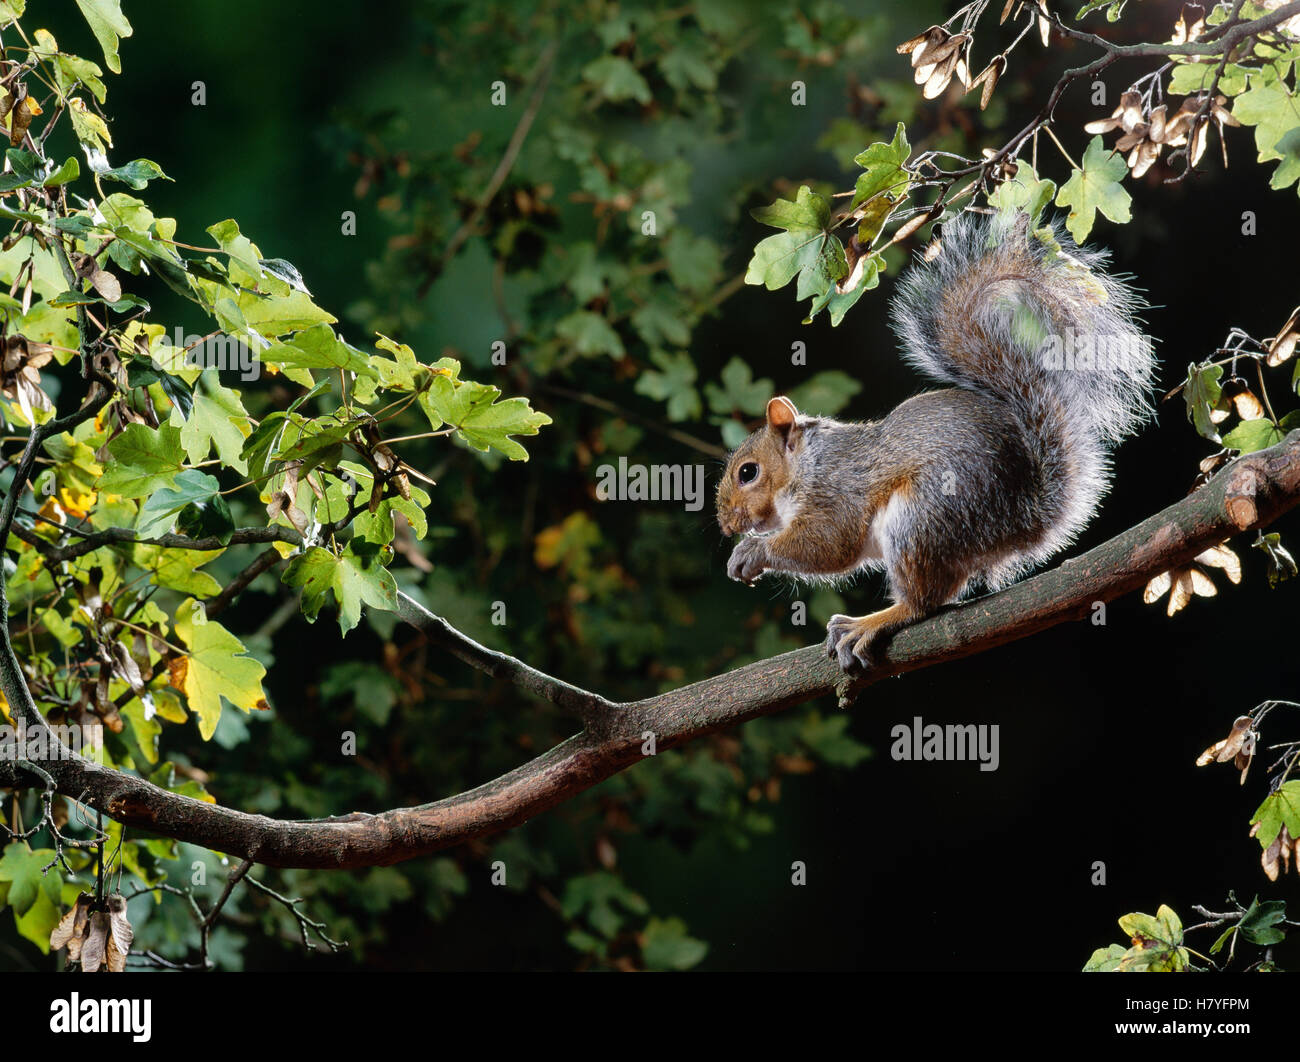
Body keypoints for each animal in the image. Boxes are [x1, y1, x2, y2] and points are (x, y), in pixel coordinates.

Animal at [716, 209, 1157, 671]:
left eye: (748, 472)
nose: (726, 525)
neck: (806, 463)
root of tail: (1022, 519)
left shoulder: (836, 492)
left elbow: (829, 544)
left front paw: (754, 552)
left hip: (922, 515)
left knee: (925, 602)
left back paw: (869, 623)